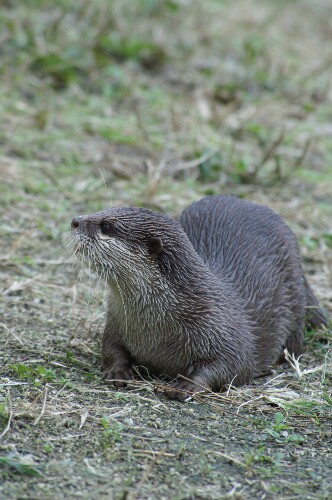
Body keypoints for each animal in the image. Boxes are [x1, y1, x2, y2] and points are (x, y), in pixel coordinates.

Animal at [69, 193, 326, 400]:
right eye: (101, 210)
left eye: (106, 226)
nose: (74, 220)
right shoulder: (116, 321)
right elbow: (111, 348)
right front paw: (118, 371)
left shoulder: (224, 330)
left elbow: (233, 364)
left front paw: (184, 386)